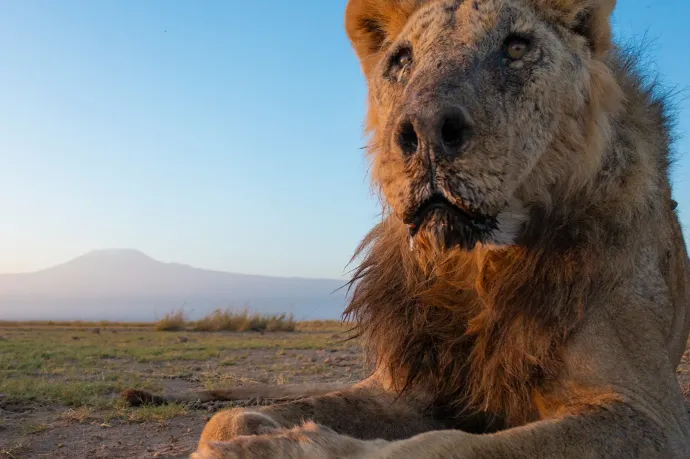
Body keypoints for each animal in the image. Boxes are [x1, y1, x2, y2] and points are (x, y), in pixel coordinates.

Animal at [123, 0, 688, 458]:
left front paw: (284, 448)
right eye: (401, 61)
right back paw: (143, 391)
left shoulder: (646, 414)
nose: (426, 130)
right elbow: (229, 418)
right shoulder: (406, 384)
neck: (475, 264)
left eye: (516, 47)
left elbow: (443, 446)